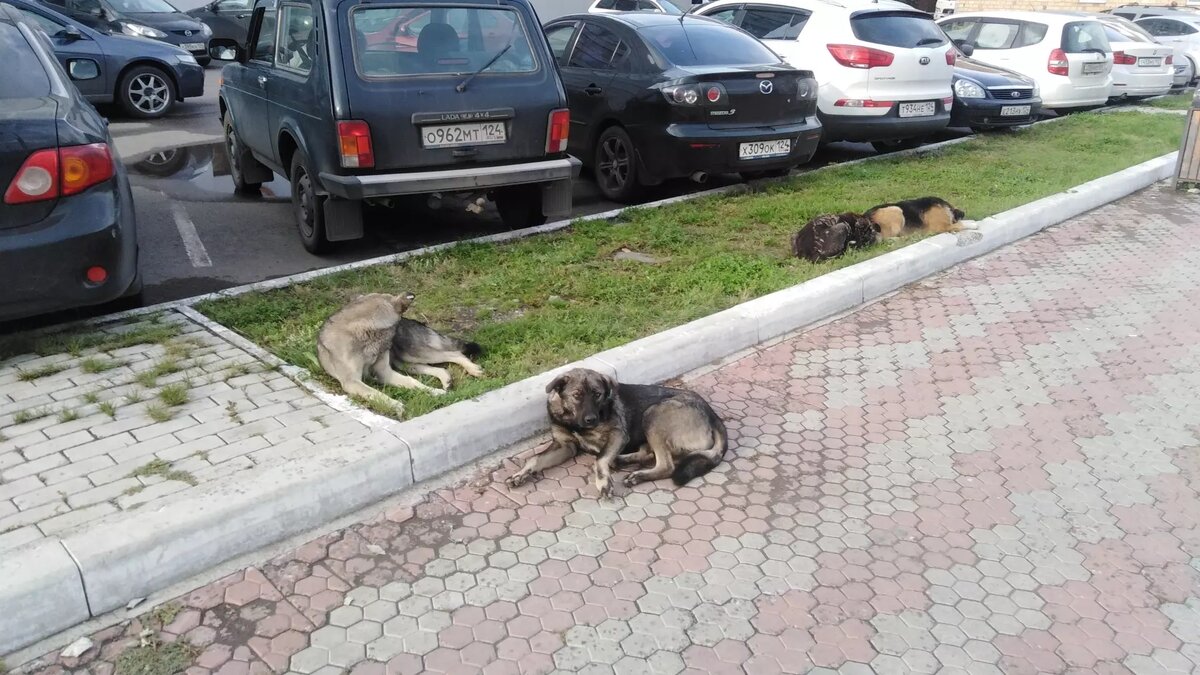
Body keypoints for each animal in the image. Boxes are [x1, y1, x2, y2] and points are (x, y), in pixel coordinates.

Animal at [316, 289, 448, 410]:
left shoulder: (384, 372)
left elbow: (412, 381)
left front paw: (433, 391)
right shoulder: (352, 381)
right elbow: (376, 393)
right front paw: (396, 405)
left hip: (416, 355)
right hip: (406, 360)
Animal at [501, 367, 724, 494]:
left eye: (597, 394)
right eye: (577, 395)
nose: (591, 419)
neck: (573, 421)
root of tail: (713, 416)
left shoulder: (618, 434)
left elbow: (600, 459)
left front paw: (602, 481)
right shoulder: (565, 446)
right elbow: (534, 459)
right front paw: (520, 474)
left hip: (653, 414)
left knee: (666, 465)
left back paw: (636, 474)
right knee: (648, 453)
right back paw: (622, 461)